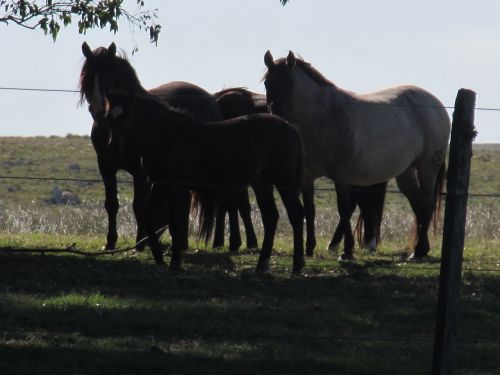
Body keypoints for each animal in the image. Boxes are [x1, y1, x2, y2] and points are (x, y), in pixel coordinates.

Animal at [105, 91, 304, 274]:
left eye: (126, 116)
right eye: (108, 117)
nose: (113, 149)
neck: (168, 137)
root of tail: (291, 127)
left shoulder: (178, 188)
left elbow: (176, 223)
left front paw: (175, 262)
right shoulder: (160, 185)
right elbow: (149, 217)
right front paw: (159, 259)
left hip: (283, 181)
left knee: (295, 214)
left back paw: (297, 265)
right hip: (262, 184)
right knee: (271, 217)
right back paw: (262, 265)